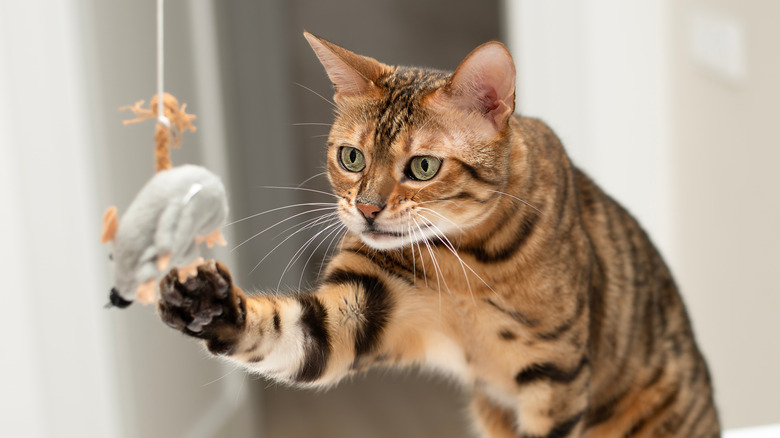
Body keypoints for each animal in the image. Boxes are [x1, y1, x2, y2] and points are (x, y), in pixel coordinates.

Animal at [155, 32, 724, 436]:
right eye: (351, 157)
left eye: (423, 167)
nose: (366, 208)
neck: (463, 261)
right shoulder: (358, 309)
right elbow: (283, 331)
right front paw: (205, 302)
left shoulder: (555, 373)